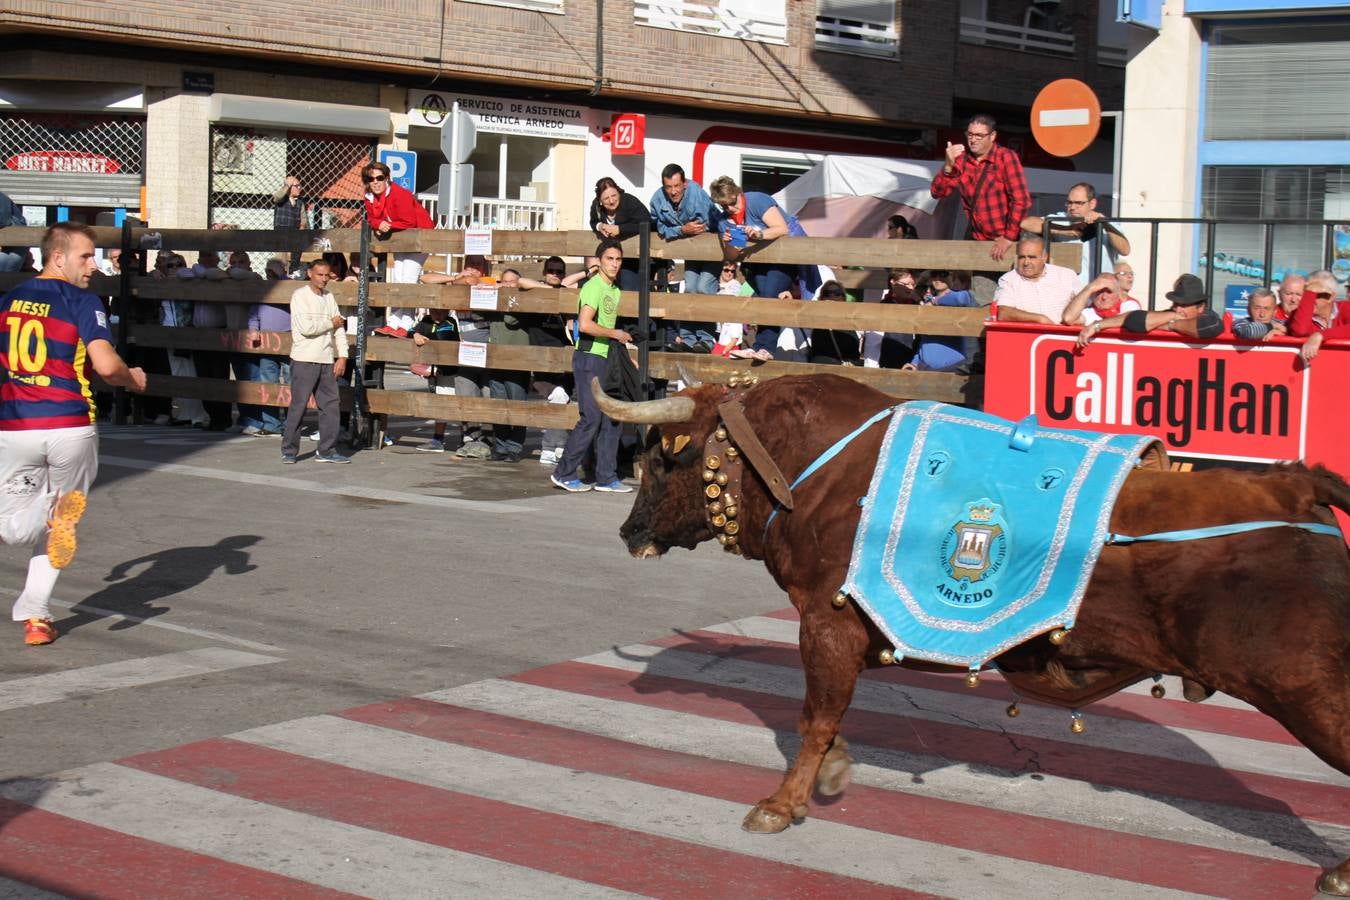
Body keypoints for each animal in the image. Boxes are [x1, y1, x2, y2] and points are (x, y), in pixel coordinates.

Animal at [596, 372, 1350, 895]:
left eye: (658, 461)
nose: (629, 533)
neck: (809, 468)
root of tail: (1294, 488)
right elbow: (827, 717)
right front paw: (832, 772)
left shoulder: (826, 623)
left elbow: (814, 717)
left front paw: (781, 804)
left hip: (1308, 691)